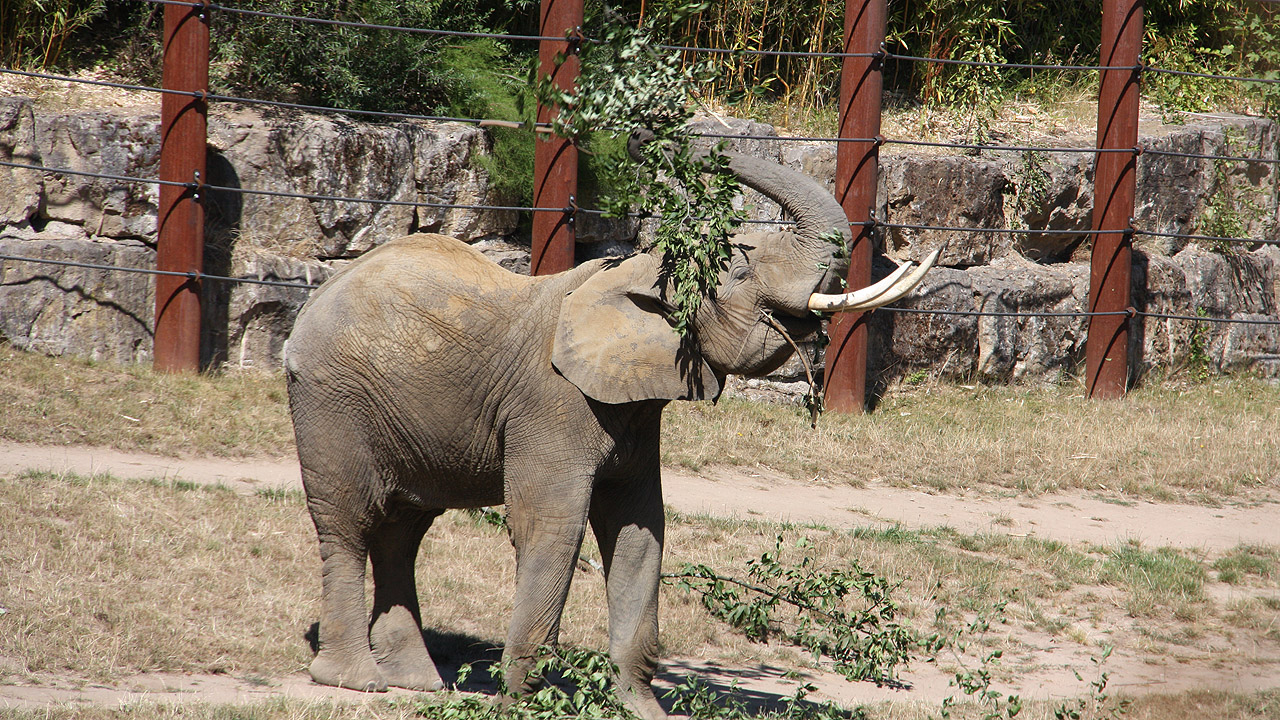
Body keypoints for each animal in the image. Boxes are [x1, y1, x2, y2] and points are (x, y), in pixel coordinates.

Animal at [282, 142, 937, 720]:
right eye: (740, 268)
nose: (655, 137)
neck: (638, 272)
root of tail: (315, 298)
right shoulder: (552, 403)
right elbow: (551, 525)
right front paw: (524, 706)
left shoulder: (636, 409)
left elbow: (640, 529)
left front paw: (641, 709)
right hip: (331, 400)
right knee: (350, 522)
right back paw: (357, 680)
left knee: (404, 529)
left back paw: (418, 684)